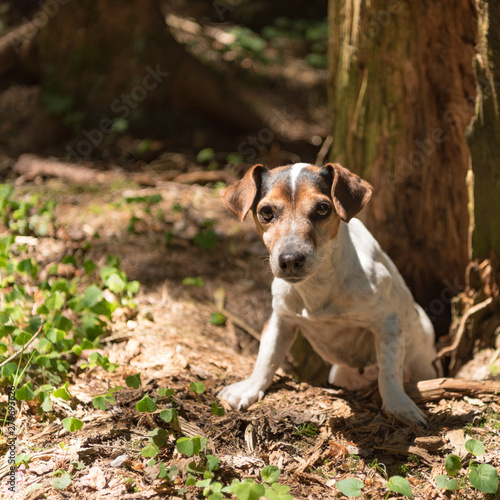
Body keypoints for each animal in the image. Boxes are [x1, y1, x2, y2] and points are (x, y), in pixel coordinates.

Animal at [219, 163, 438, 422]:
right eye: (266, 212)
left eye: (322, 208)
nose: (290, 259)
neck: (319, 284)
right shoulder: (281, 320)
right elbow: (266, 358)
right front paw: (250, 387)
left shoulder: (388, 322)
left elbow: (389, 371)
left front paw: (399, 405)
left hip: (422, 360)